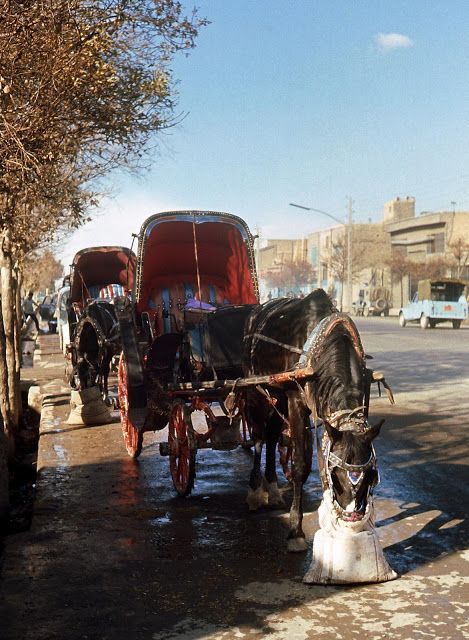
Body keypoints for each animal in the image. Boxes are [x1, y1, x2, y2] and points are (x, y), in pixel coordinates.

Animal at [243, 288, 382, 552]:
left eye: (371, 474)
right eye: (337, 474)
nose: (351, 515)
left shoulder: (363, 399)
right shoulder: (295, 400)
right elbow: (301, 465)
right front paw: (295, 531)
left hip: (277, 396)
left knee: (272, 435)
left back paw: (273, 489)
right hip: (257, 390)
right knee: (257, 437)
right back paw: (255, 492)